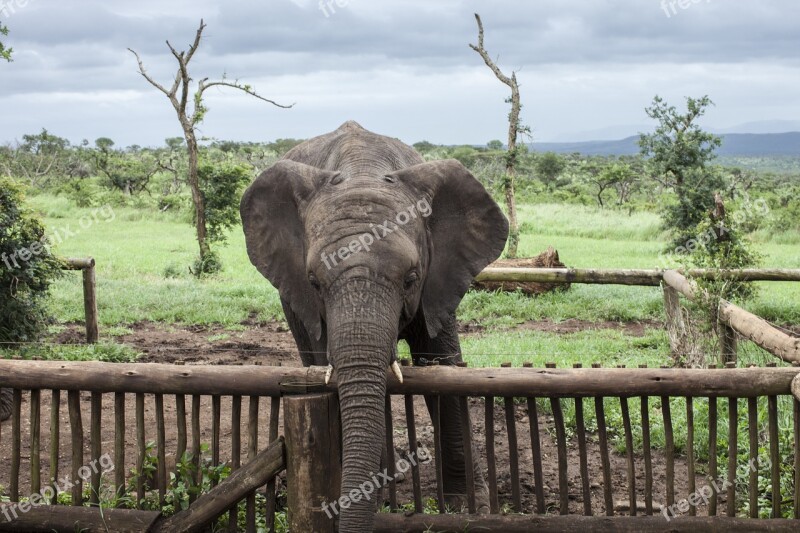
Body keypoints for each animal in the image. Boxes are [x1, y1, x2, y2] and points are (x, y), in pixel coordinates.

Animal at [238, 120, 506, 532]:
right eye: (314, 282)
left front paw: (464, 508)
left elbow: (442, 365)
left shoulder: (440, 277)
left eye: (411, 278)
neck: (362, 171)